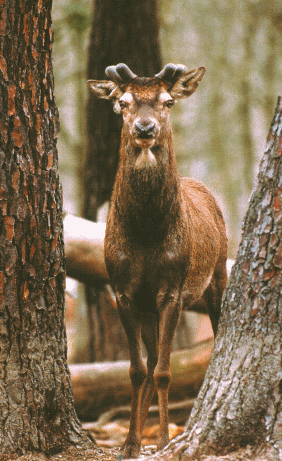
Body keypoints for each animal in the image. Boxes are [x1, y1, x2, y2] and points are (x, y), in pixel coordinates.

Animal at [87, 63, 227, 456]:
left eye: (167, 101)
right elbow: (136, 371)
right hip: (148, 308)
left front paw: (164, 440)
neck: (147, 239)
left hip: (218, 275)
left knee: (210, 341)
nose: (145, 128)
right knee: (149, 362)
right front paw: (129, 444)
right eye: (122, 102)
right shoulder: (124, 290)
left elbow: (166, 372)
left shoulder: (172, 290)